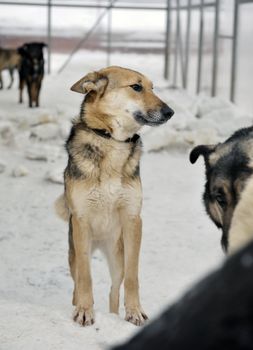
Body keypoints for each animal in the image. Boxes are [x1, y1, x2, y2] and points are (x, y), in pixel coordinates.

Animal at [55, 66, 174, 328]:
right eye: (136, 87)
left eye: (153, 88)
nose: (170, 112)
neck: (112, 141)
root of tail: (100, 243)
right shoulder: (81, 220)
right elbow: (85, 278)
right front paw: (85, 311)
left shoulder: (133, 219)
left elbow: (132, 276)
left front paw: (135, 312)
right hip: (76, 251)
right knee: (78, 282)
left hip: (117, 255)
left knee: (113, 290)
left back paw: (113, 315)